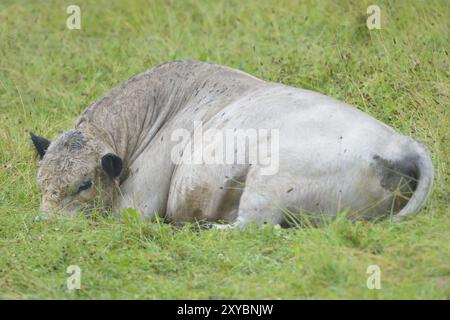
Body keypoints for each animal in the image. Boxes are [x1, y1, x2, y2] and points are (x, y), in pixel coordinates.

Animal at [29, 60, 434, 225]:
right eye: (40, 183)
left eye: (84, 184)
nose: (46, 224)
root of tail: (401, 144)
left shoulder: (136, 206)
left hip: (269, 183)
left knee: (254, 226)